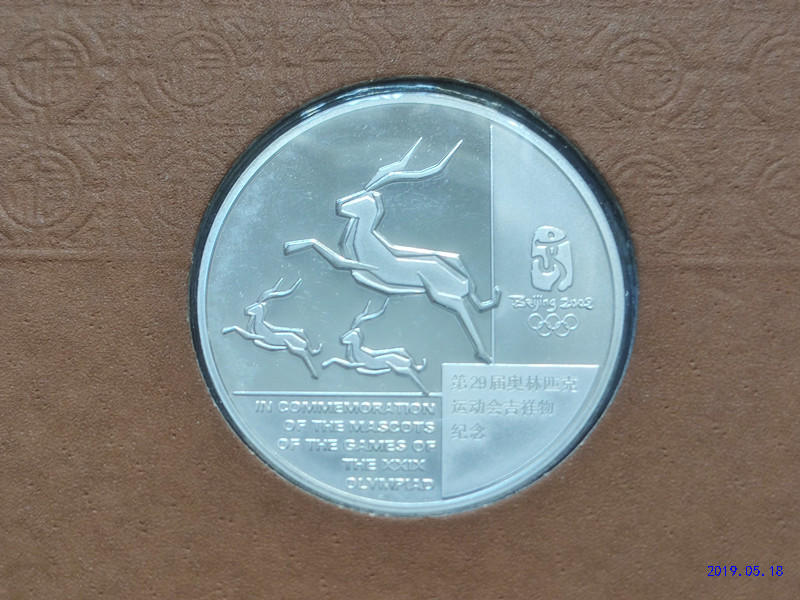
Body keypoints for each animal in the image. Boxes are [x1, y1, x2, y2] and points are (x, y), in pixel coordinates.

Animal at [284, 138, 500, 363]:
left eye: (364, 198)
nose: (339, 204)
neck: (365, 241)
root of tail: (460, 282)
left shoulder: (359, 266)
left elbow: (327, 252)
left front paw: (291, 246)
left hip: (443, 294)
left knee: (465, 314)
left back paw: (483, 354)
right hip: (451, 263)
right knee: (473, 295)